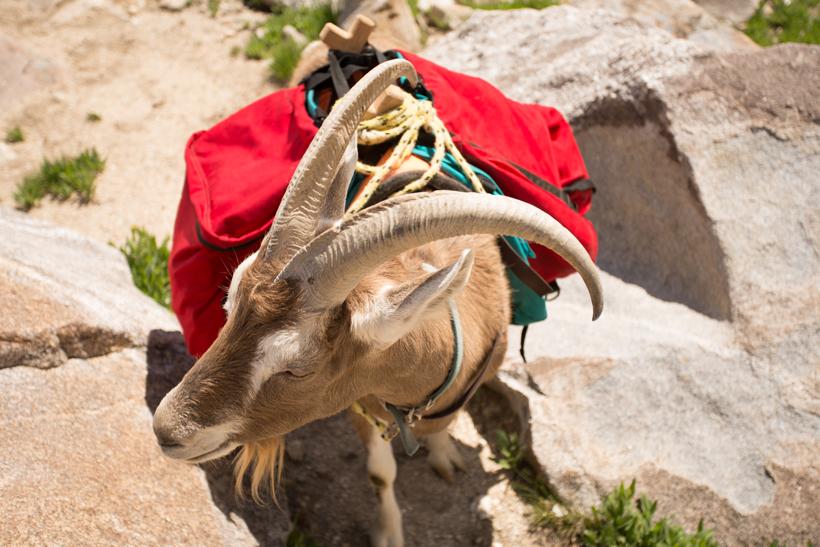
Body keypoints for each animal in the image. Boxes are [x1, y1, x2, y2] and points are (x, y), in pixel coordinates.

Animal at [153, 60, 603, 547]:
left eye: (297, 369)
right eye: (228, 307)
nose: (166, 429)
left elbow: (443, 429)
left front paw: (444, 455)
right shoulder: (360, 404)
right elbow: (380, 473)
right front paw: (388, 532)